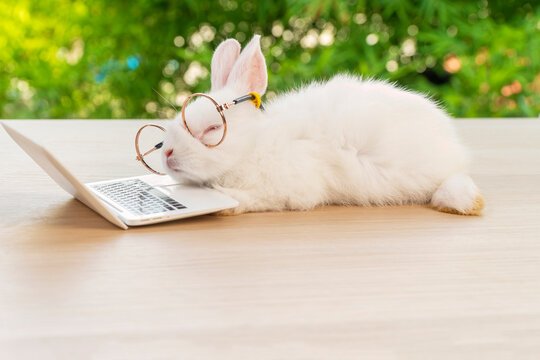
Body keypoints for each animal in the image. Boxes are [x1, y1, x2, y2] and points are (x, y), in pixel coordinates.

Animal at [161, 35, 486, 215]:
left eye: (212, 130)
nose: (166, 152)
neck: (254, 146)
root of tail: (453, 145)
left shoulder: (289, 188)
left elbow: (252, 198)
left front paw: (230, 206)